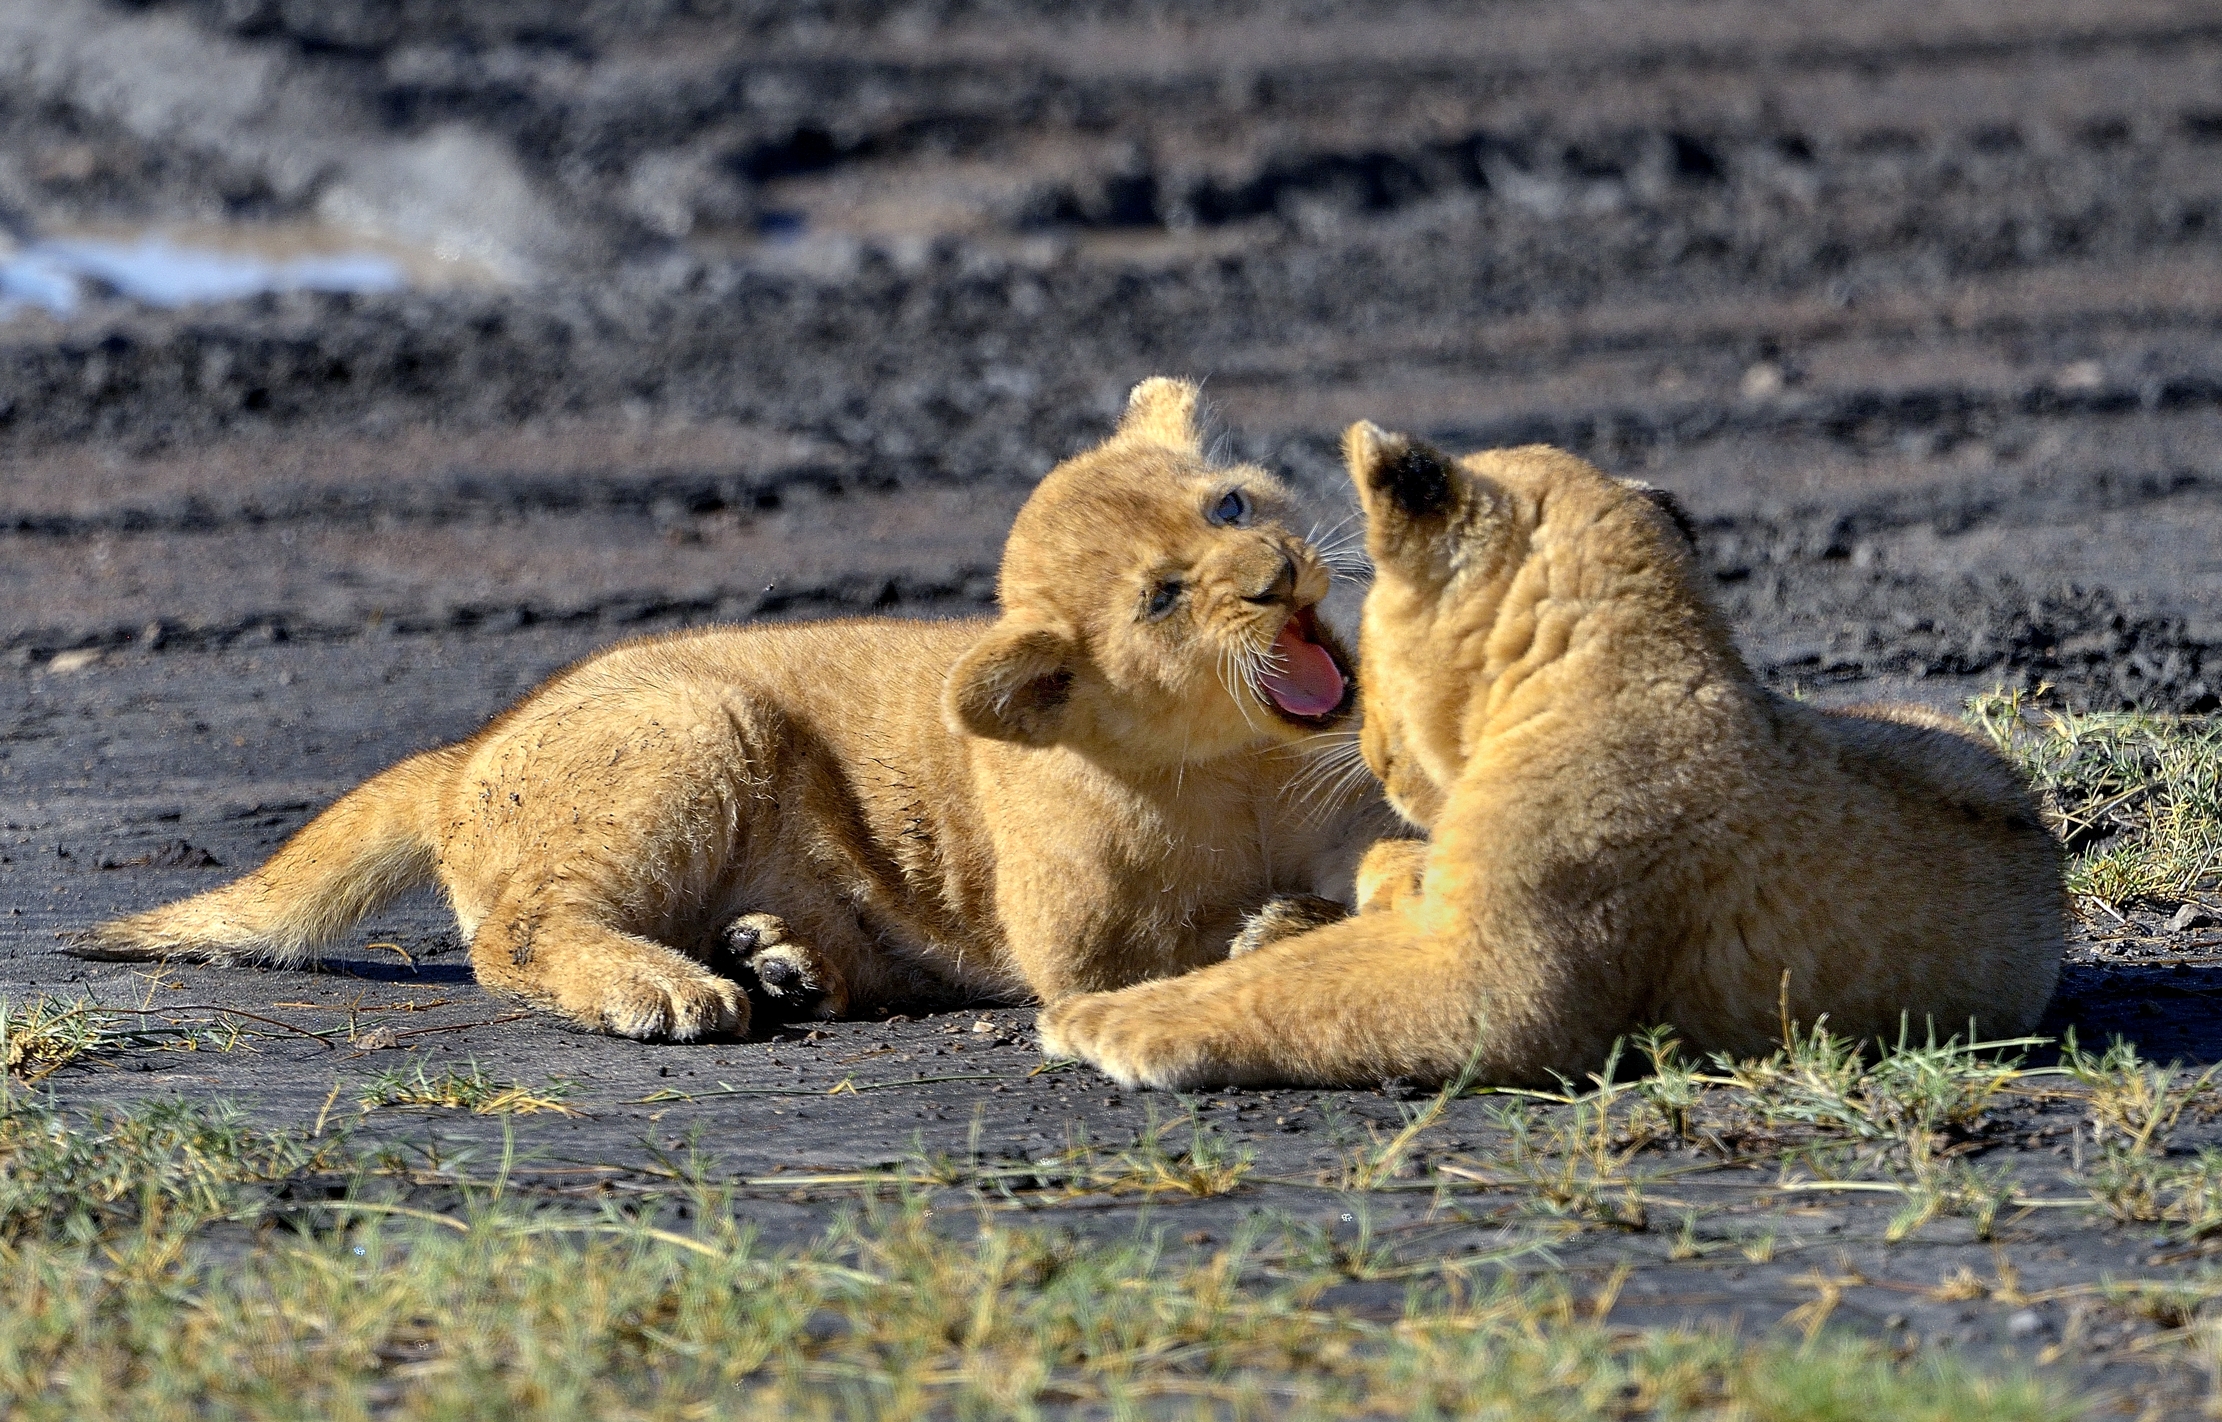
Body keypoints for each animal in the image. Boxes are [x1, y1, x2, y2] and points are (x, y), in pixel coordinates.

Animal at [71, 379, 1395, 1040]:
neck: (1237, 766)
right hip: (698, 728)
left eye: (1228, 505)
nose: (1274, 572)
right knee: (520, 936)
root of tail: (461, 757)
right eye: (1162, 597)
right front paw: (1276, 928)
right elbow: (1182, 949)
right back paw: (680, 991)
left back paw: (784, 963)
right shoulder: (1072, 942)